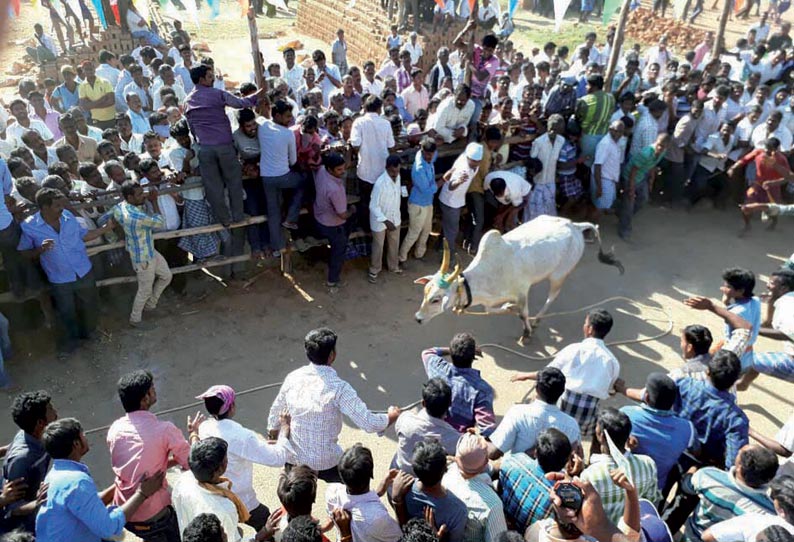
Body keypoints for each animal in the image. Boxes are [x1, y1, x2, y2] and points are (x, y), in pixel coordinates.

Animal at [412, 217, 620, 344]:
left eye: (436, 299)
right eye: (425, 292)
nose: (418, 318)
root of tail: (575, 227)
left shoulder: (521, 292)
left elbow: (523, 313)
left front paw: (526, 333)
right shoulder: (492, 300)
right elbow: (491, 310)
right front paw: (509, 307)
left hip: (558, 275)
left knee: (551, 298)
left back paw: (537, 320)